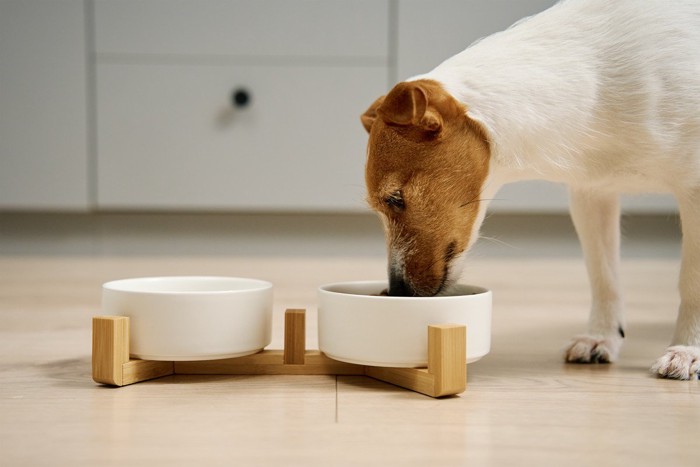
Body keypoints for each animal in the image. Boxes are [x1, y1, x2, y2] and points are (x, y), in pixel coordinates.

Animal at [360, 0, 700, 380]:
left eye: (395, 199)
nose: (396, 291)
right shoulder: (592, 195)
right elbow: (603, 275)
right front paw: (601, 338)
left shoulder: (694, 190)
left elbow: (692, 281)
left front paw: (687, 350)